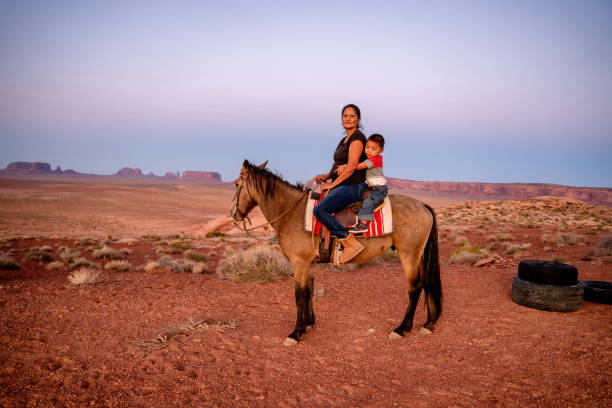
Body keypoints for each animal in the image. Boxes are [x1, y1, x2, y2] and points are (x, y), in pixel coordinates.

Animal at [230, 161, 440, 346]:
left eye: (237, 184)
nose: (233, 214)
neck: (291, 213)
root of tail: (424, 206)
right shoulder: (309, 263)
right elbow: (310, 291)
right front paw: (308, 324)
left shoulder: (299, 263)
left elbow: (299, 296)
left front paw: (295, 333)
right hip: (419, 255)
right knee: (428, 283)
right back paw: (428, 324)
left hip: (409, 255)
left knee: (415, 287)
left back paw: (402, 328)